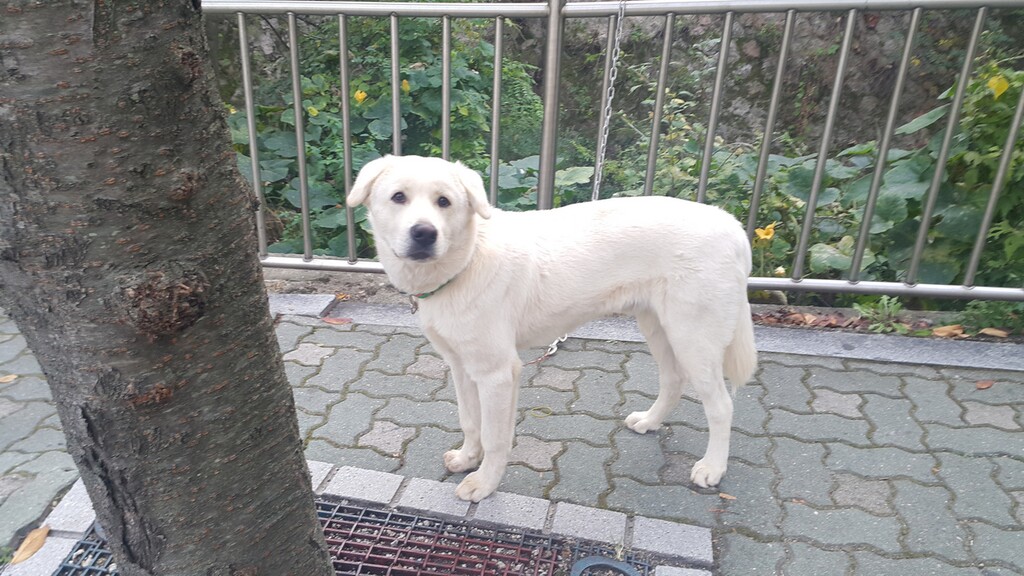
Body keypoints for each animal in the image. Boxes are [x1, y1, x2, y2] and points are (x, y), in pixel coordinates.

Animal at [347, 155, 757, 502]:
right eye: (398, 197)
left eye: (443, 201)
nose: (424, 233)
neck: (466, 261)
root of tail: (732, 225)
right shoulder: (462, 367)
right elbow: (471, 422)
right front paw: (467, 459)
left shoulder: (498, 373)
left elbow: (496, 437)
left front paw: (484, 484)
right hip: (658, 327)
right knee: (673, 381)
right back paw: (650, 422)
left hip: (694, 338)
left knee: (721, 406)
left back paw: (712, 468)